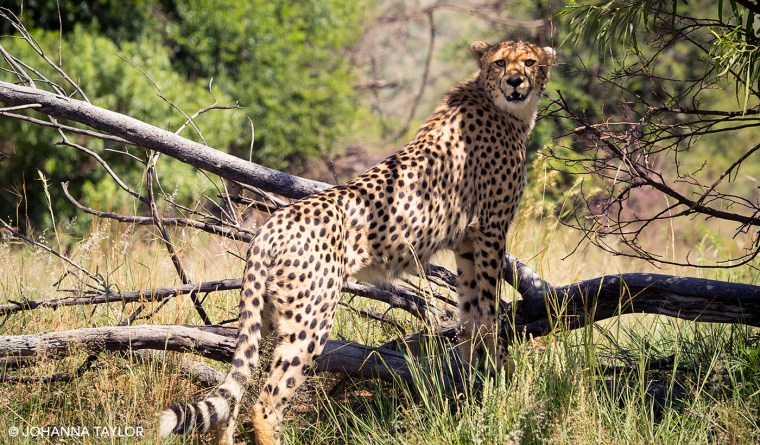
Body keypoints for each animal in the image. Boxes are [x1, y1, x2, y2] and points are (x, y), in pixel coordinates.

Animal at [160, 39, 554, 445]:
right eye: (500, 63)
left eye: (529, 62)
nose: (514, 81)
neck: (502, 107)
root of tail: (273, 223)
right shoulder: (489, 230)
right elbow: (489, 311)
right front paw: (498, 374)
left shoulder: (467, 241)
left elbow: (472, 312)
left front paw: (475, 381)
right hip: (311, 316)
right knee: (266, 403)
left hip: (266, 315)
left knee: (237, 391)